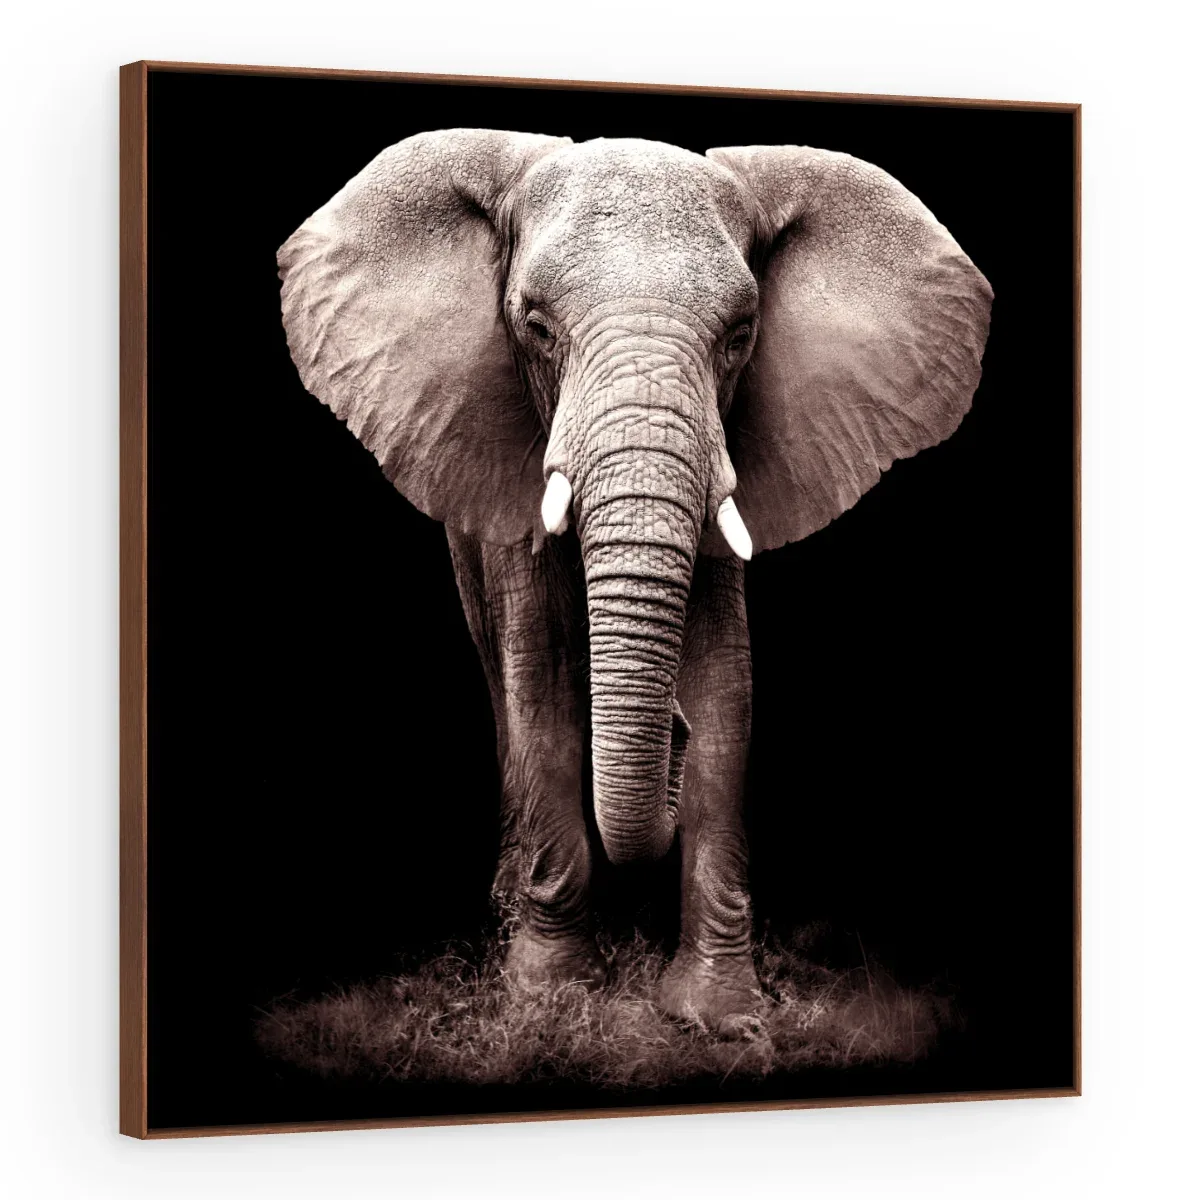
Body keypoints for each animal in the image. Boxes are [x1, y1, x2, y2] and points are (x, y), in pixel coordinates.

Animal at [278, 129, 992, 1030]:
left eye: (741, 333)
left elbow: (727, 688)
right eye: (535, 326)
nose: (669, 732)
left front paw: (717, 1015)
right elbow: (542, 681)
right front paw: (550, 996)